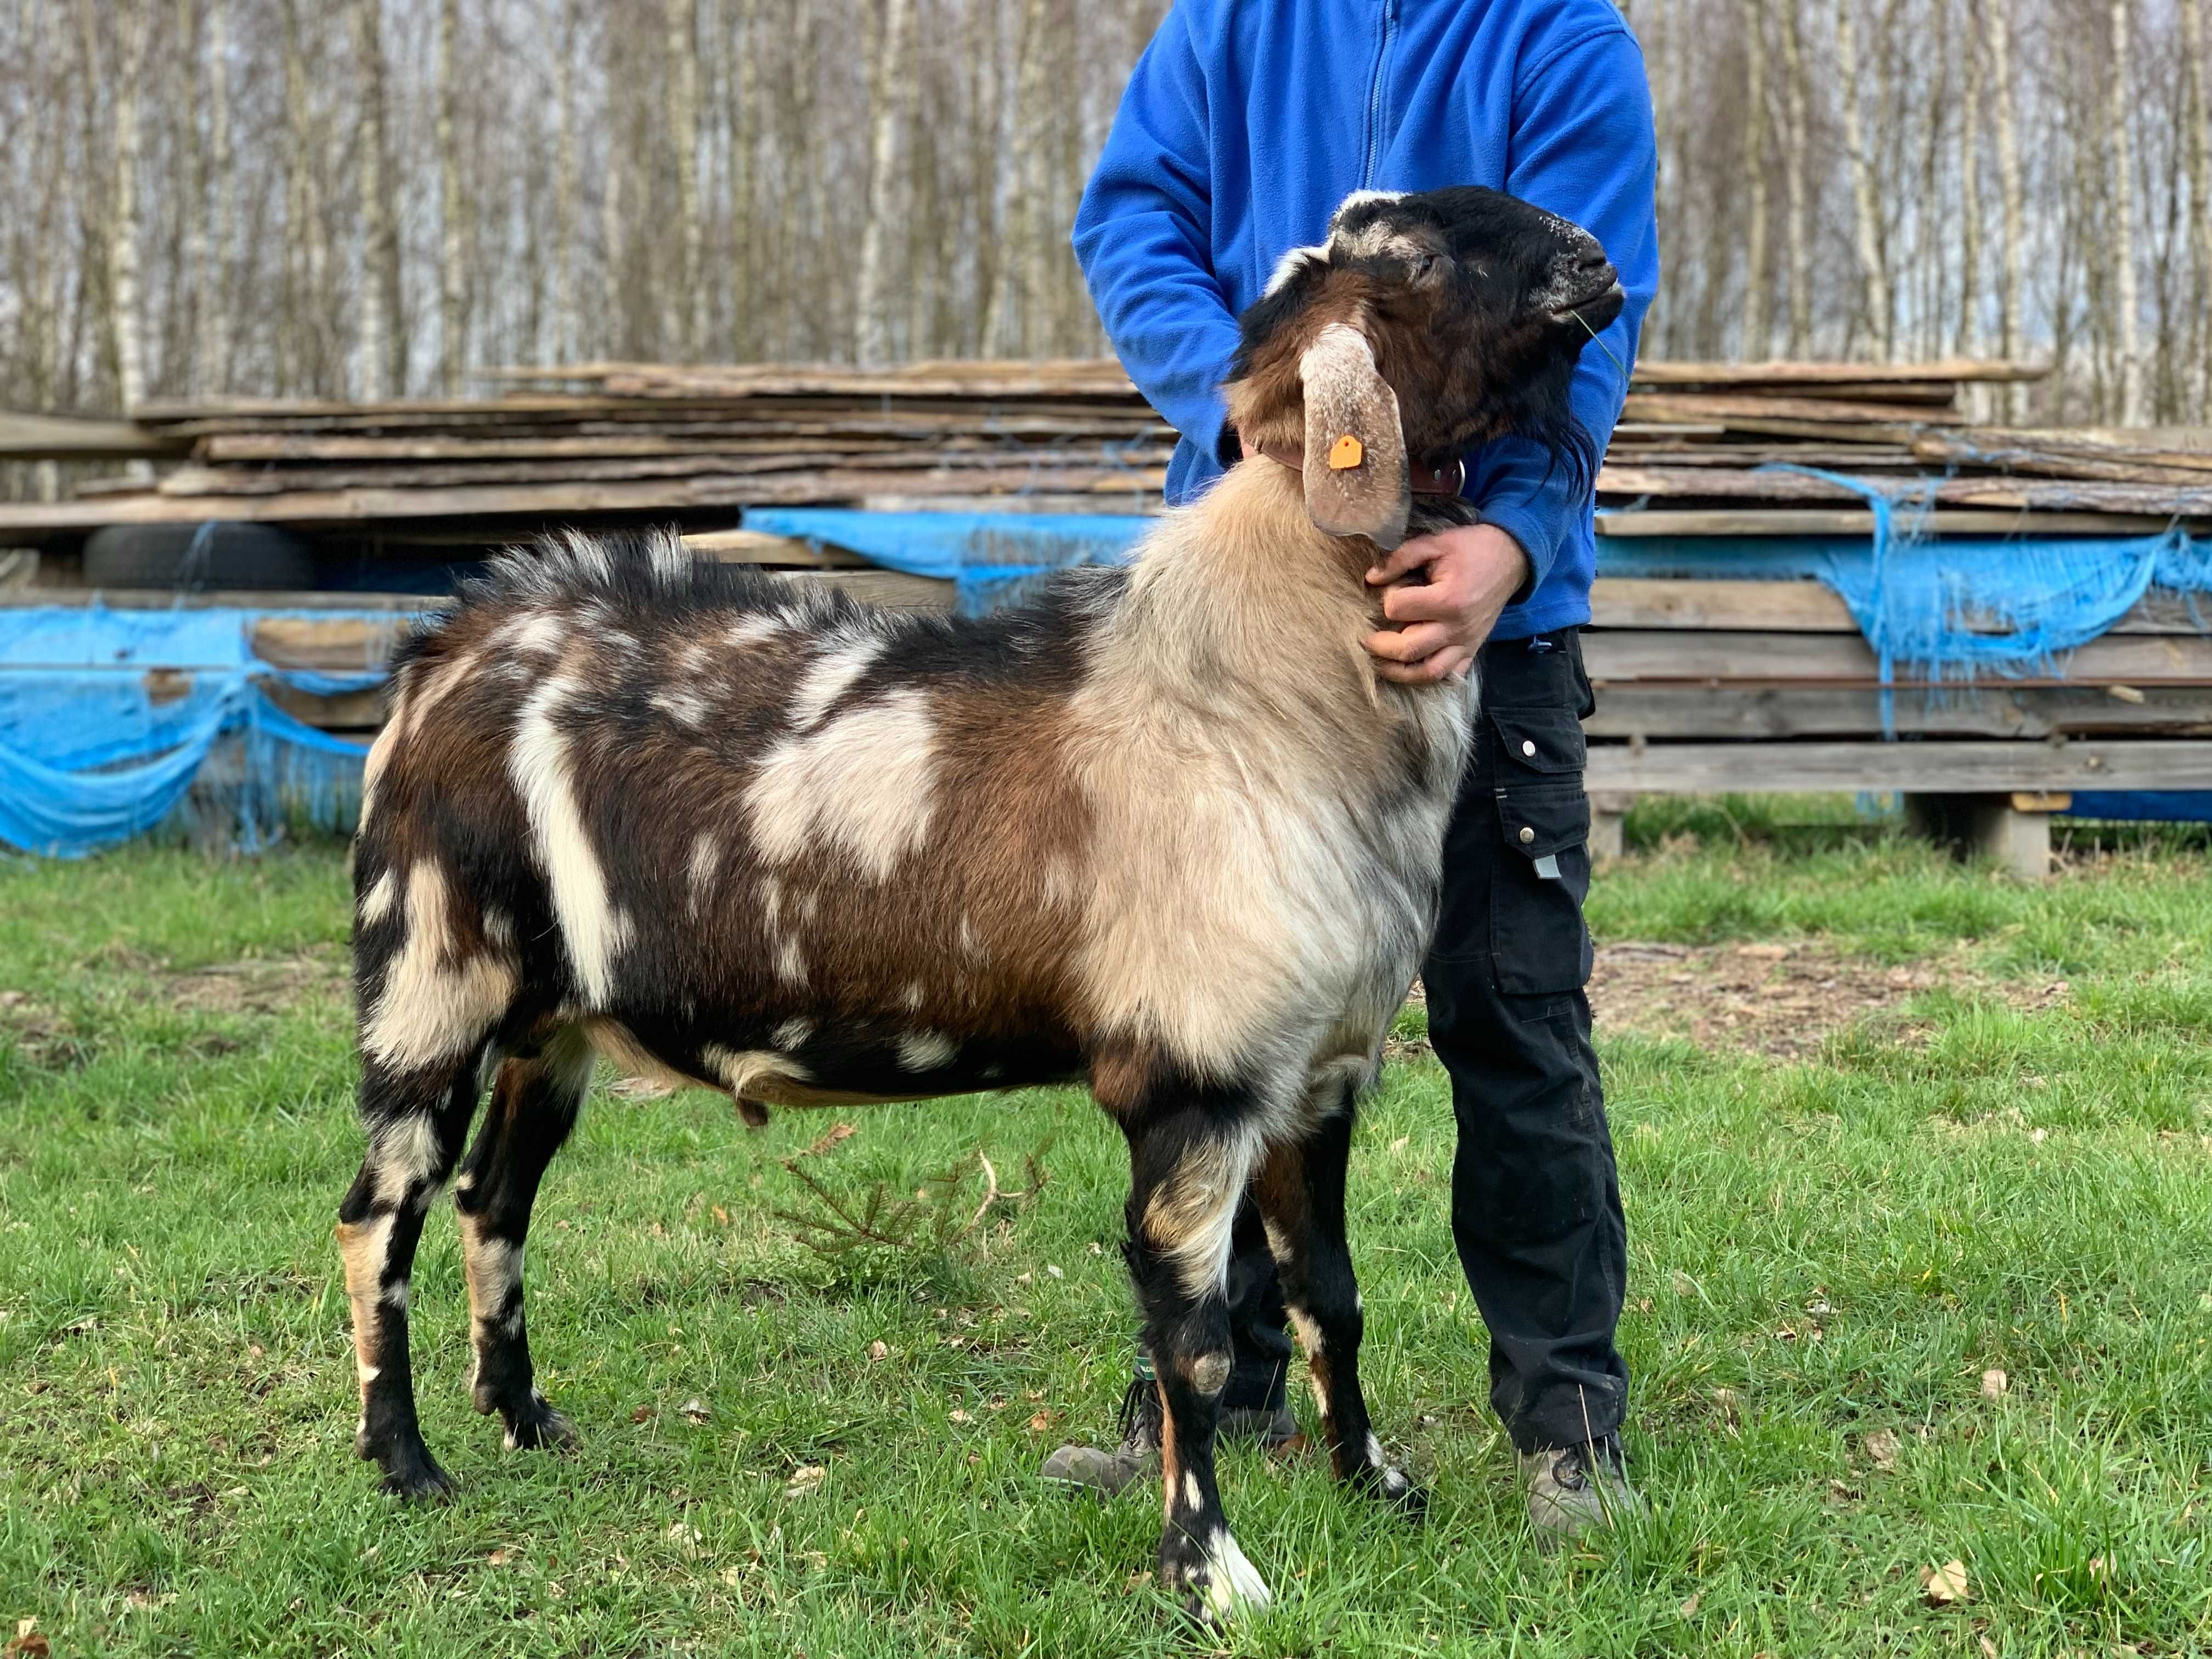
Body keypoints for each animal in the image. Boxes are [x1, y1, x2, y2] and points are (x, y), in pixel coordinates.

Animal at [336, 184, 1619, 1628]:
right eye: (1429, 257)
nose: (1599, 260)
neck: (1260, 682)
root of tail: (447, 644)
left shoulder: (1317, 1077)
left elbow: (1328, 1300)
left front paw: (1376, 1488)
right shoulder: (1189, 1080)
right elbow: (1192, 1347)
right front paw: (1210, 1573)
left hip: (548, 1020)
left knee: (495, 1199)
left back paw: (525, 1420)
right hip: (430, 980)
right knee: (378, 1218)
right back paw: (407, 1463)